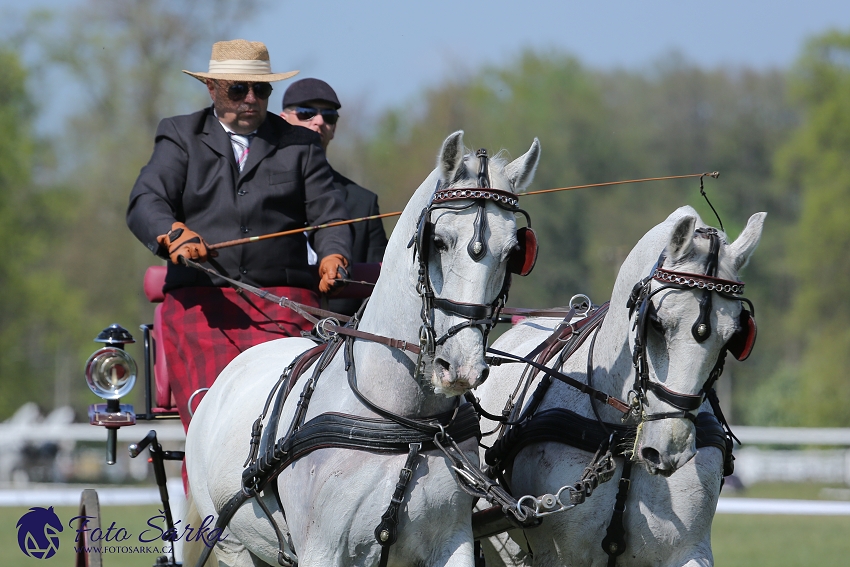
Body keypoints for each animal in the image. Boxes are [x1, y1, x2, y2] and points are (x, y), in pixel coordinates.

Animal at [186, 131, 540, 564]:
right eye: (438, 242)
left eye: (514, 253)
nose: (461, 367)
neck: (405, 424)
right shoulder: (321, 550)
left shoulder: (453, 541)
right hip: (233, 545)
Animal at [476, 207, 760, 567]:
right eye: (656, 323)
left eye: (734, 335)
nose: (669, 448)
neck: (627, 439)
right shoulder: (559, 556)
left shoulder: (688, 551)